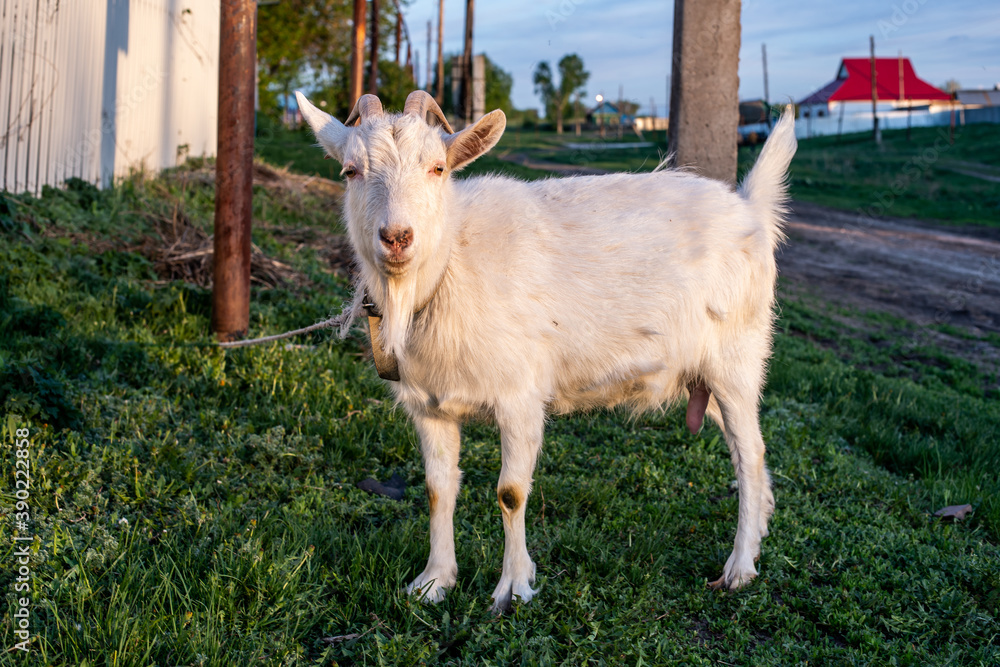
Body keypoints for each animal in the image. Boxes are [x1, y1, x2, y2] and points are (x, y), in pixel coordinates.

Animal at [295, 89, 797, 612]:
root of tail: (750, 209)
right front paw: (434, 581)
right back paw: (757, 534)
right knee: (749, 456)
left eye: (437, 168)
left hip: (736, 359)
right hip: (704, 377)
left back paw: (739, 568)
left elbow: (511, 492)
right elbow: (437, 489)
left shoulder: (520, 396)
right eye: (350, 171)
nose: (396, 238)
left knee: (750, 454)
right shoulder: (430, 406)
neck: (452, 263)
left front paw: (512, 589)